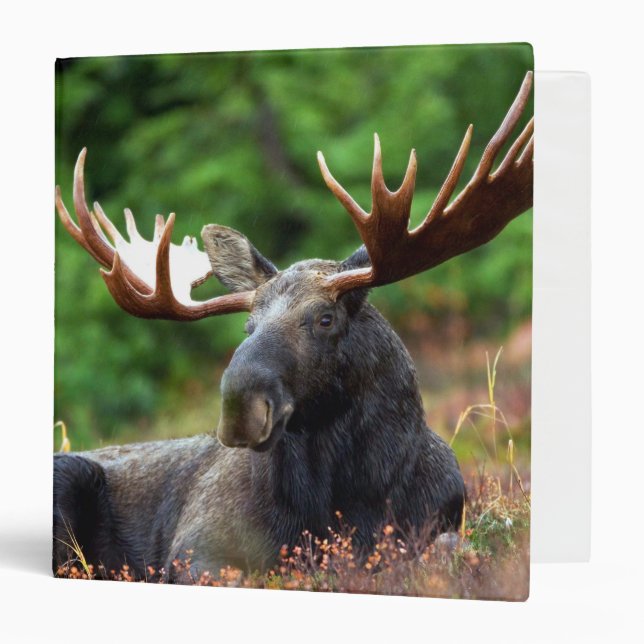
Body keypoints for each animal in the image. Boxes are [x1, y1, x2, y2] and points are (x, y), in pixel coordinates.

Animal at [53, 72, 533, 582]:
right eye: (248, 325)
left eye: (325, 318)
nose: (239, 407)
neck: (348, 501)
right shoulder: (196, 546)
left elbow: (446, 548)